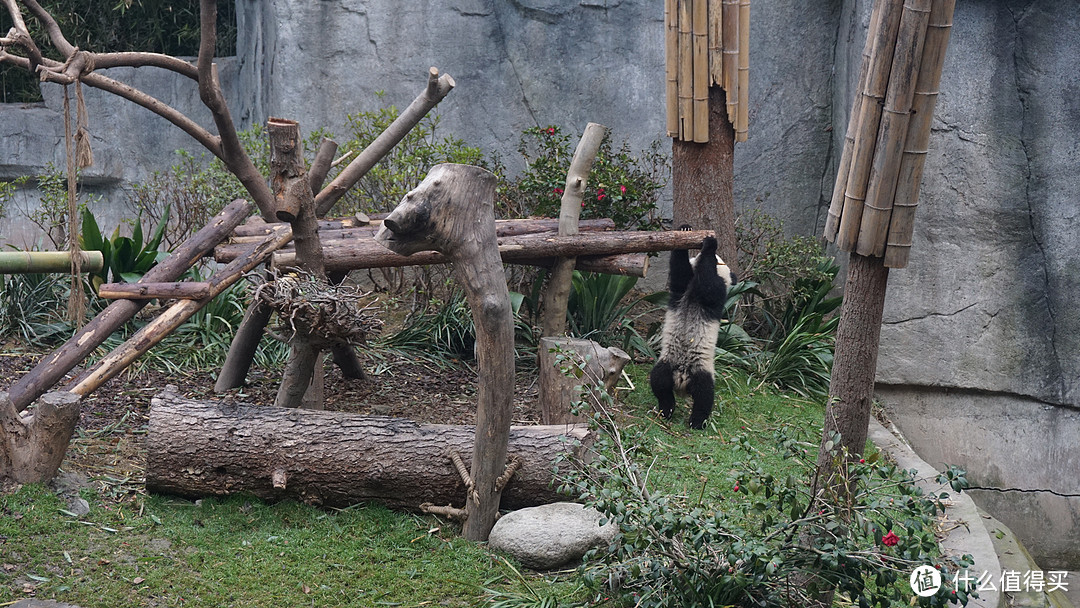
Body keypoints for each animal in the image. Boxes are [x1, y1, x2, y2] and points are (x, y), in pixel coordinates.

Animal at [648, 225, 734, 429]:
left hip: (701, 369)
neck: (693, 289)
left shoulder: (715, 297)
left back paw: (696, 421)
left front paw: (710, 245)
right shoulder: (682, 289)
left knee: (704, 395)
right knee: (659, 383)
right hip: (666, 363)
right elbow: (680, 272)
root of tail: (681, 378)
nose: (700, 253)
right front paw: (685, 230)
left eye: (719, 260)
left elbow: (710, 287)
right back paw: (667, 409)